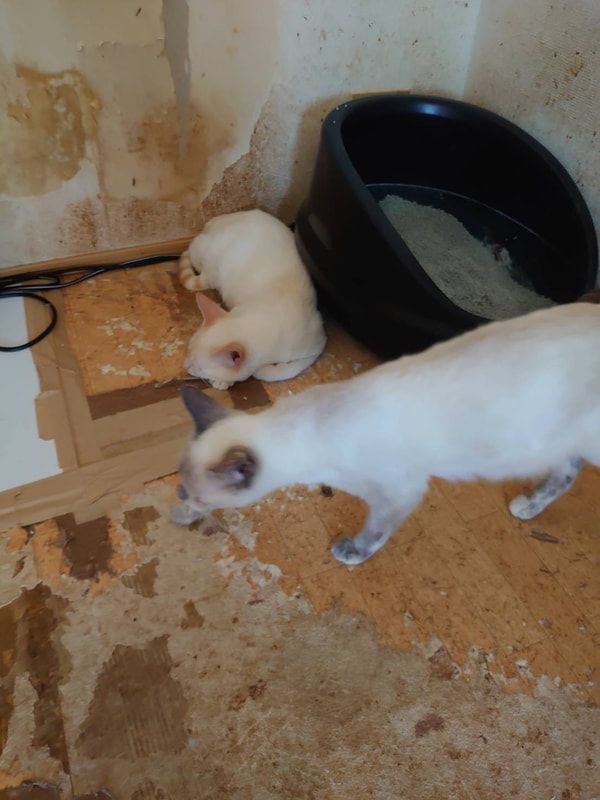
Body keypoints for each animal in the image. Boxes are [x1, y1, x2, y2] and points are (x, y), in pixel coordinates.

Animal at [170, 304, 600, 564]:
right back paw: (527, 507)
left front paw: (351, 554)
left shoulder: (399, 491)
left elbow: (375, 532)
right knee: (567, 470)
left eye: (199, 496)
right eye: (182, 488)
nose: (183, 499)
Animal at [180, 209, 326, 390]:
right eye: (187, 349)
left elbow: (285, 371)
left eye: (198, 368)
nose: (185, 365)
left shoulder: (317, 345)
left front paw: (260, 371)